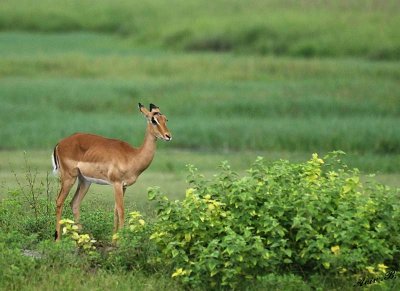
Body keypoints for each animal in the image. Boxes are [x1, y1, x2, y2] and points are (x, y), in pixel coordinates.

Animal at [51, 104, 170, 241]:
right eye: (153, 120)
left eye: (165, 119)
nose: (168, 136)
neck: (133, 156)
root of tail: (60, 143)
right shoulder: (117, 184)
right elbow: (121, 211)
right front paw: (122, 240)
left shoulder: (123, 186)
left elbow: (115, 211)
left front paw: (114, 240)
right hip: (69, 177)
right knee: (59, 201)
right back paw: (58, 239)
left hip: (85, 181)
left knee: (74, 203)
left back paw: (83, 238)